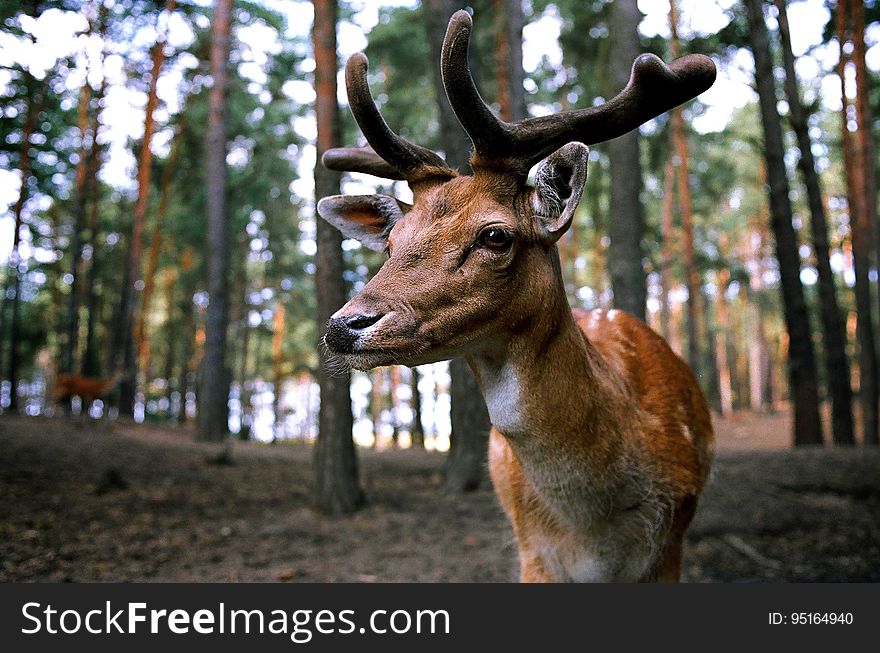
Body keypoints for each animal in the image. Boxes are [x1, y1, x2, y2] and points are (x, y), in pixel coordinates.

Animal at [316, 10, 716, 580]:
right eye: (391, 243)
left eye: (495, 235)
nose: (344, 325)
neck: (597, 534)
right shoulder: (533, 554)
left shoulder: (671, 544)